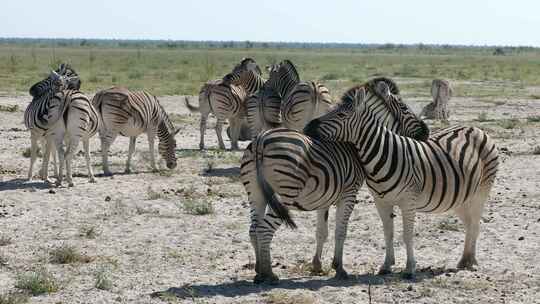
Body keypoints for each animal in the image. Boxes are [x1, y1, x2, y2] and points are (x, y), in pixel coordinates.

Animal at [240, 76, 430, 284]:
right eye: (404, 107)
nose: (427, 132)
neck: (355, 146)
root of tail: (261, 140)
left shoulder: (324, 195)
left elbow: (322, 232)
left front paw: (317, 265)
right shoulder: (349, 193)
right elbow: (341, 231)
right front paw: (339, 268)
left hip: (256, 193)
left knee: (253, 229)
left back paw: (258, 270)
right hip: (286, 194)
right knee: (264, 229)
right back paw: (269, 274)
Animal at [306, 80, 500, 278]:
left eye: (341, 114)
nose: (307, 128)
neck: (384, 153)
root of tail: (475, 128)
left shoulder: (409, 202)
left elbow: (407, 234)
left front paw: (409, 268)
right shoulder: (381, 202)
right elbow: (388, 233)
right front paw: (386, 266)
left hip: (481, 192)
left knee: (475, 224)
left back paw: (471, 261)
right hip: (461, 197)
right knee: (469, 223)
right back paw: (465, 260)